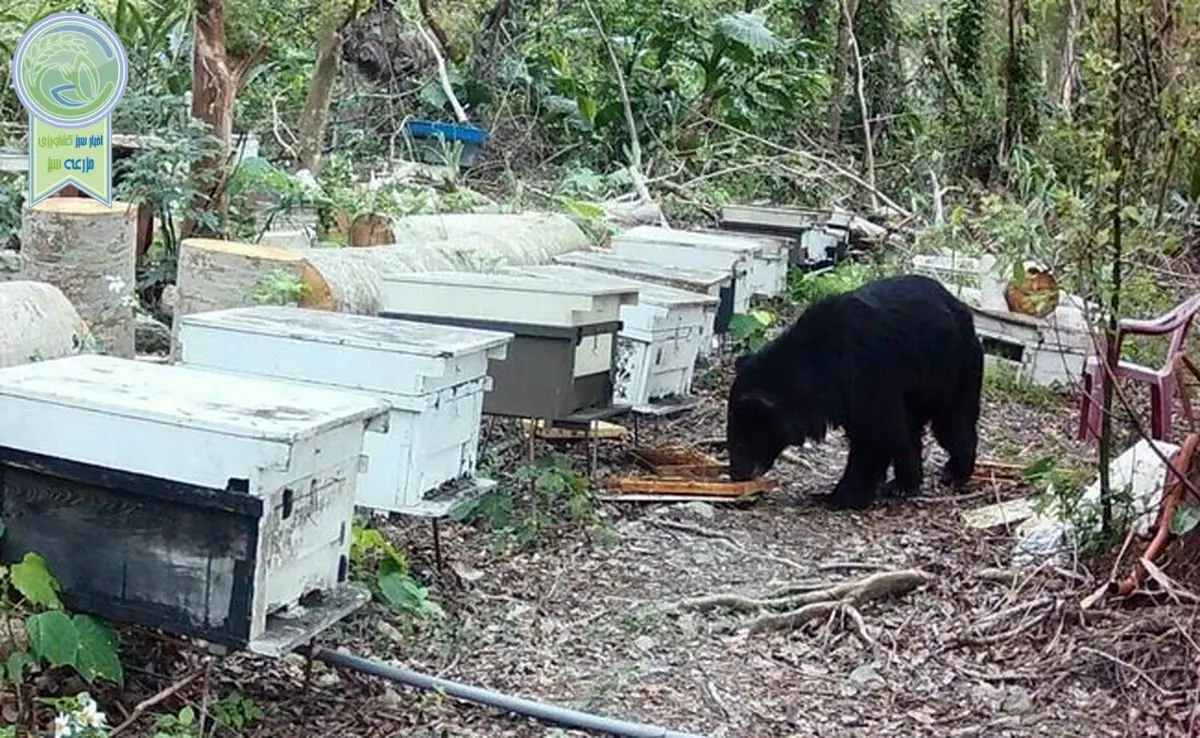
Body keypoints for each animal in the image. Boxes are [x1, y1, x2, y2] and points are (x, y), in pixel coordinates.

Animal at [724, 274, 979, 511]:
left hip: (954, 372)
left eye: (741, 442)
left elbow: (875, 436)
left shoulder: (870, 375)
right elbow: (895, 435)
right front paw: (898, 485)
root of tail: (961, 307)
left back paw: (955, 473)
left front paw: (836, 497)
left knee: (953, 425)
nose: (736, 474)